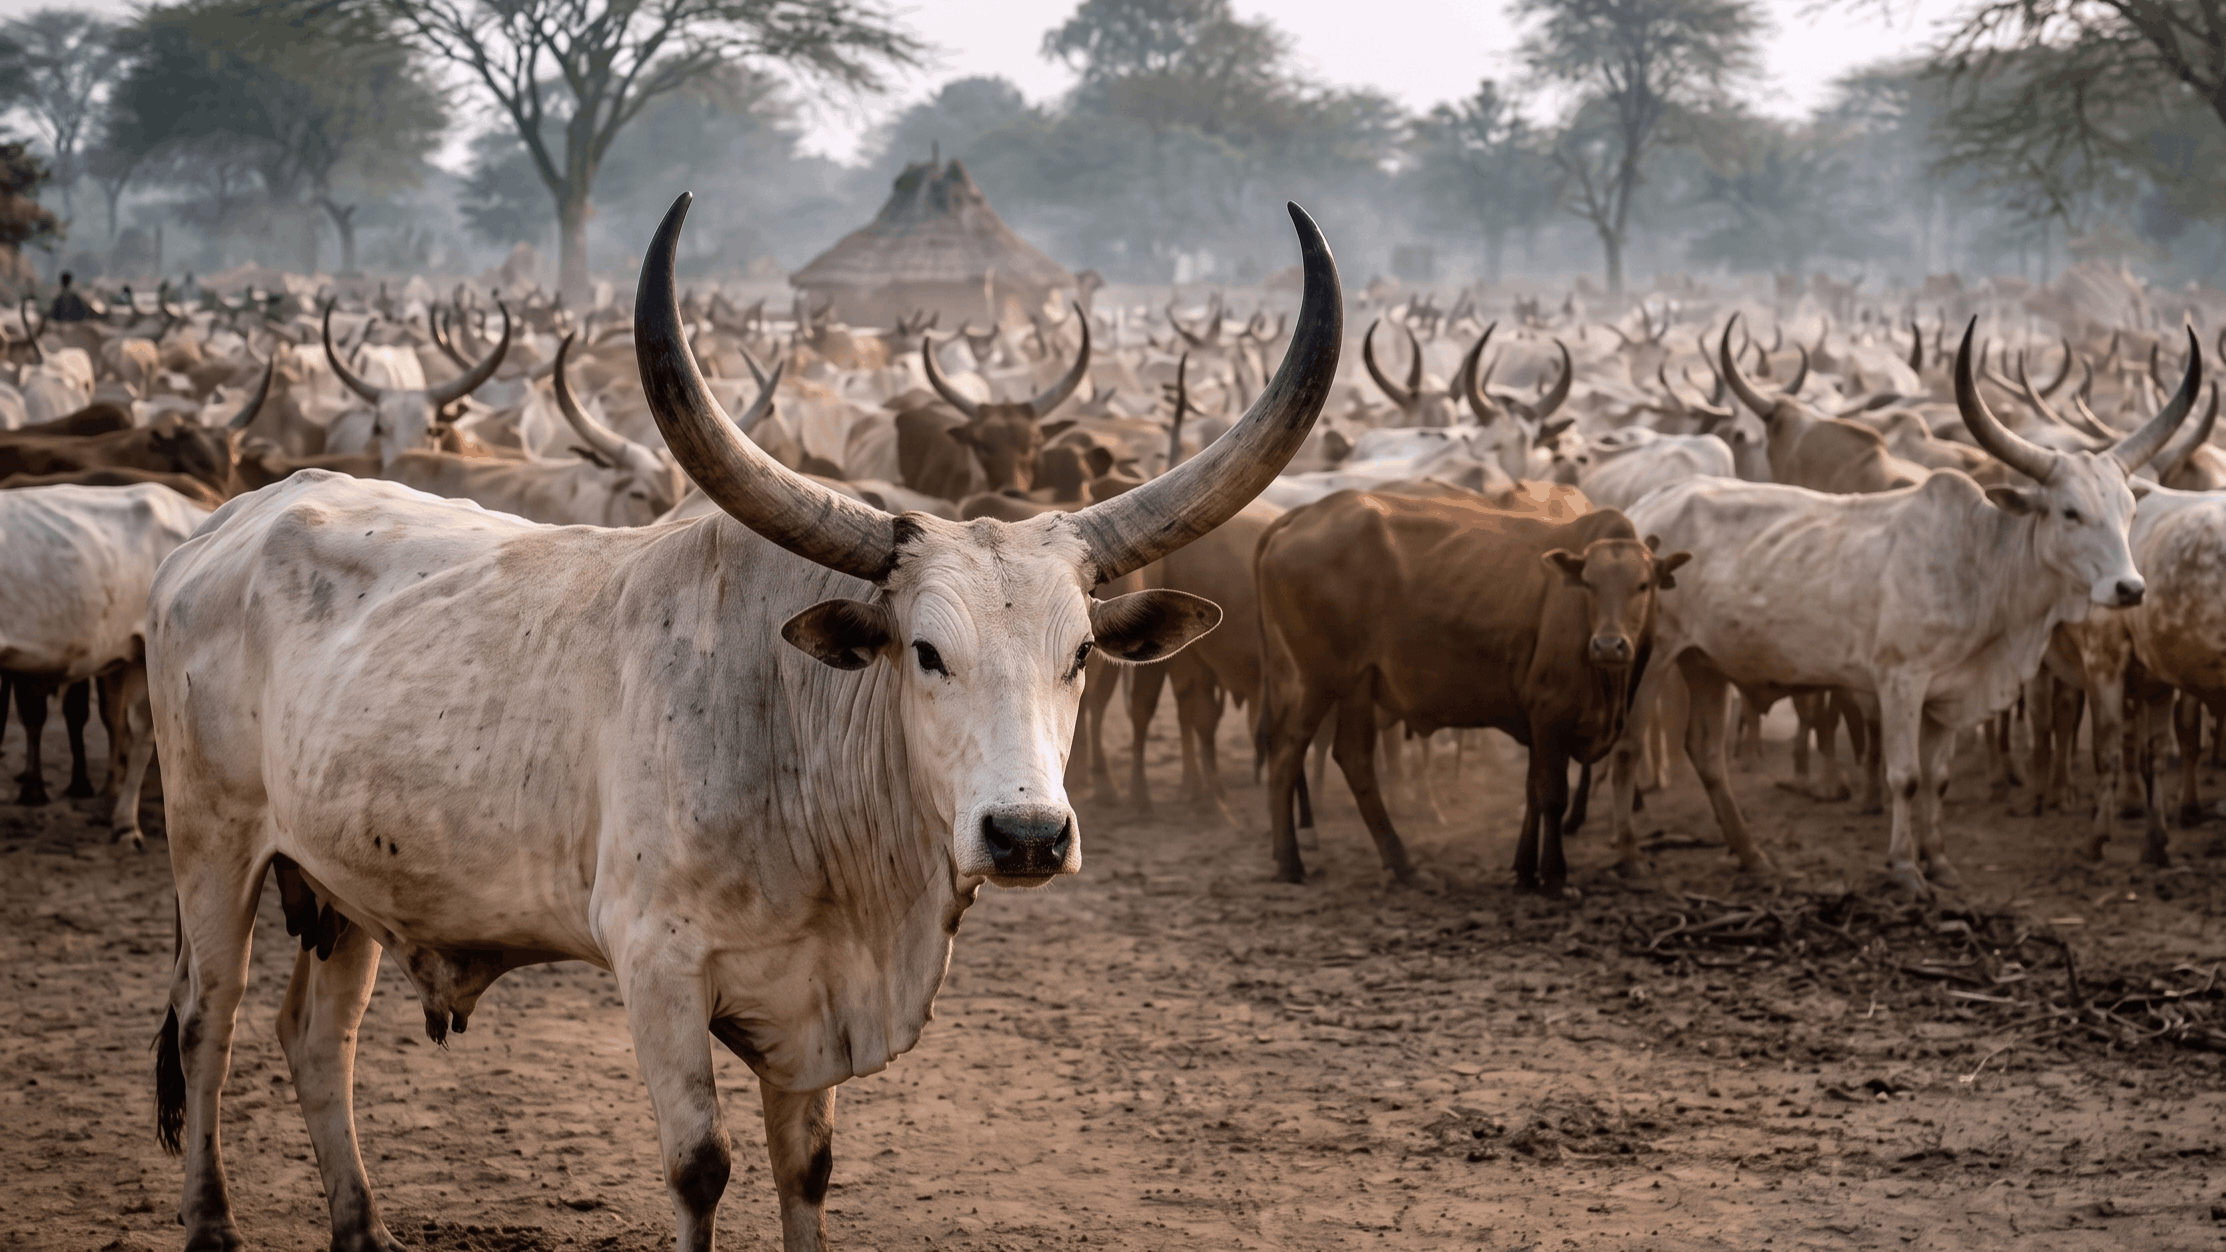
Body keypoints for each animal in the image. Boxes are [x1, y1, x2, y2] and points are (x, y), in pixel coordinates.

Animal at [145, 194, 1341, 1252]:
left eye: (1080, 654)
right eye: (926, 652)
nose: (1028, 836)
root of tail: (224, 523)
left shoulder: (811, 1009)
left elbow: (805, 1170)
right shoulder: (658, 970)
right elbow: (700, 1168)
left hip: (340, 882)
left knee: (317, 1038)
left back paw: (362, 1226)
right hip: (214, 847)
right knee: (211, 1020)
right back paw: (209, 1222)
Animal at [1254, 488, 1684, 894]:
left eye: (1643, 585)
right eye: (1590, 585)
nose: (1609, 645)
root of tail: (1312, 510)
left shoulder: (1536, 720)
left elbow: (1531, 791)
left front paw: (1525, 871)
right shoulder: (1550, 714)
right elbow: (1552, 795)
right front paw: (1555, 877)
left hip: (1358, 684)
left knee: (1355, 760)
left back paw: (1403, 866)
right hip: (1318, 681)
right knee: (1286, 756)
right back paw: (1291, 862)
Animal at [1606, 321, 2201, 895]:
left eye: (2129, 509)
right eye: (2070, 512)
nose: (2130, 588)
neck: (1981, 561)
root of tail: (1646, 508)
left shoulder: (1947, 694)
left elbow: (1937, 778)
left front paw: (1939, 862)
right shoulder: (1900, 681)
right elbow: (1904, 775)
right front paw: (1905, 867)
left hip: (1703, 663)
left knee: (1706, 753)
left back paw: (1752, 855)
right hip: (1650, 659)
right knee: (1628, 746)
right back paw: (1630, 858)